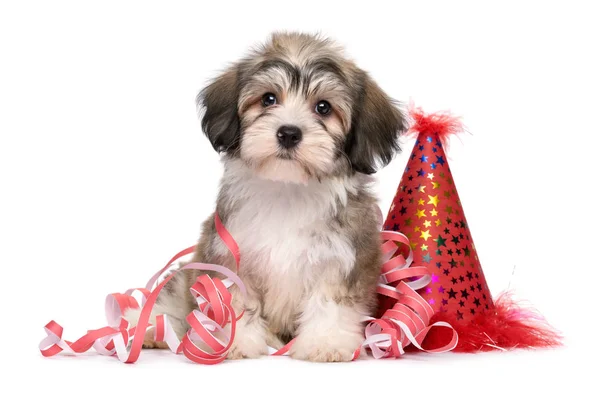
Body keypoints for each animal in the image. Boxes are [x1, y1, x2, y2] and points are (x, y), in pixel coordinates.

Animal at [126, 32, 408, 360]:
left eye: (323, 107)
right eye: (268, 99)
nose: (289, 133)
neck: (288, 188)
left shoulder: (342, 258)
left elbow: (330, 304)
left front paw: (325, 341)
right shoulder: (230, 255)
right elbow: (234, 302)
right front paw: (233, 341)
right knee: (172, 300)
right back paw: (146, 327)